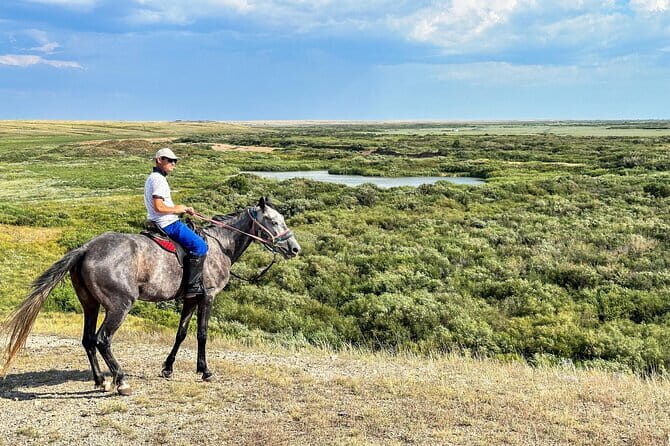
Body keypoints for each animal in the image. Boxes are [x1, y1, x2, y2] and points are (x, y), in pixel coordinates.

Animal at [1, 196, 301, 395]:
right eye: (274, 221)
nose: (295, 249)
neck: (220, 245)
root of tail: (86, 248)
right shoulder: (207, 297)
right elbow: (202, 334)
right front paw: (204, 371)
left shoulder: (190, 298)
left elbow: (181, 333)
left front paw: (168, 368)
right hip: (119, 306)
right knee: (102, 339)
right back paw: (120, 381)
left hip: (90, 304)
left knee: (87, 340)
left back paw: (100, 381)